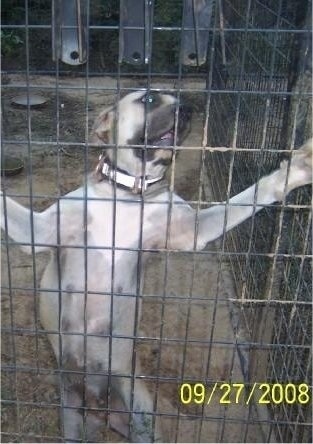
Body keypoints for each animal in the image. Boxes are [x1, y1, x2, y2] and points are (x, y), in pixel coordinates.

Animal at [1, 89, 310, 440]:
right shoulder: (37, 231)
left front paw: (290, 175)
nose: (188, 109)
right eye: (148, 99)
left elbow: (246, 198)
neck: (128, 195)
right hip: (73, 415)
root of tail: (100, 406)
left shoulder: (192, 230)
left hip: (140, 409)